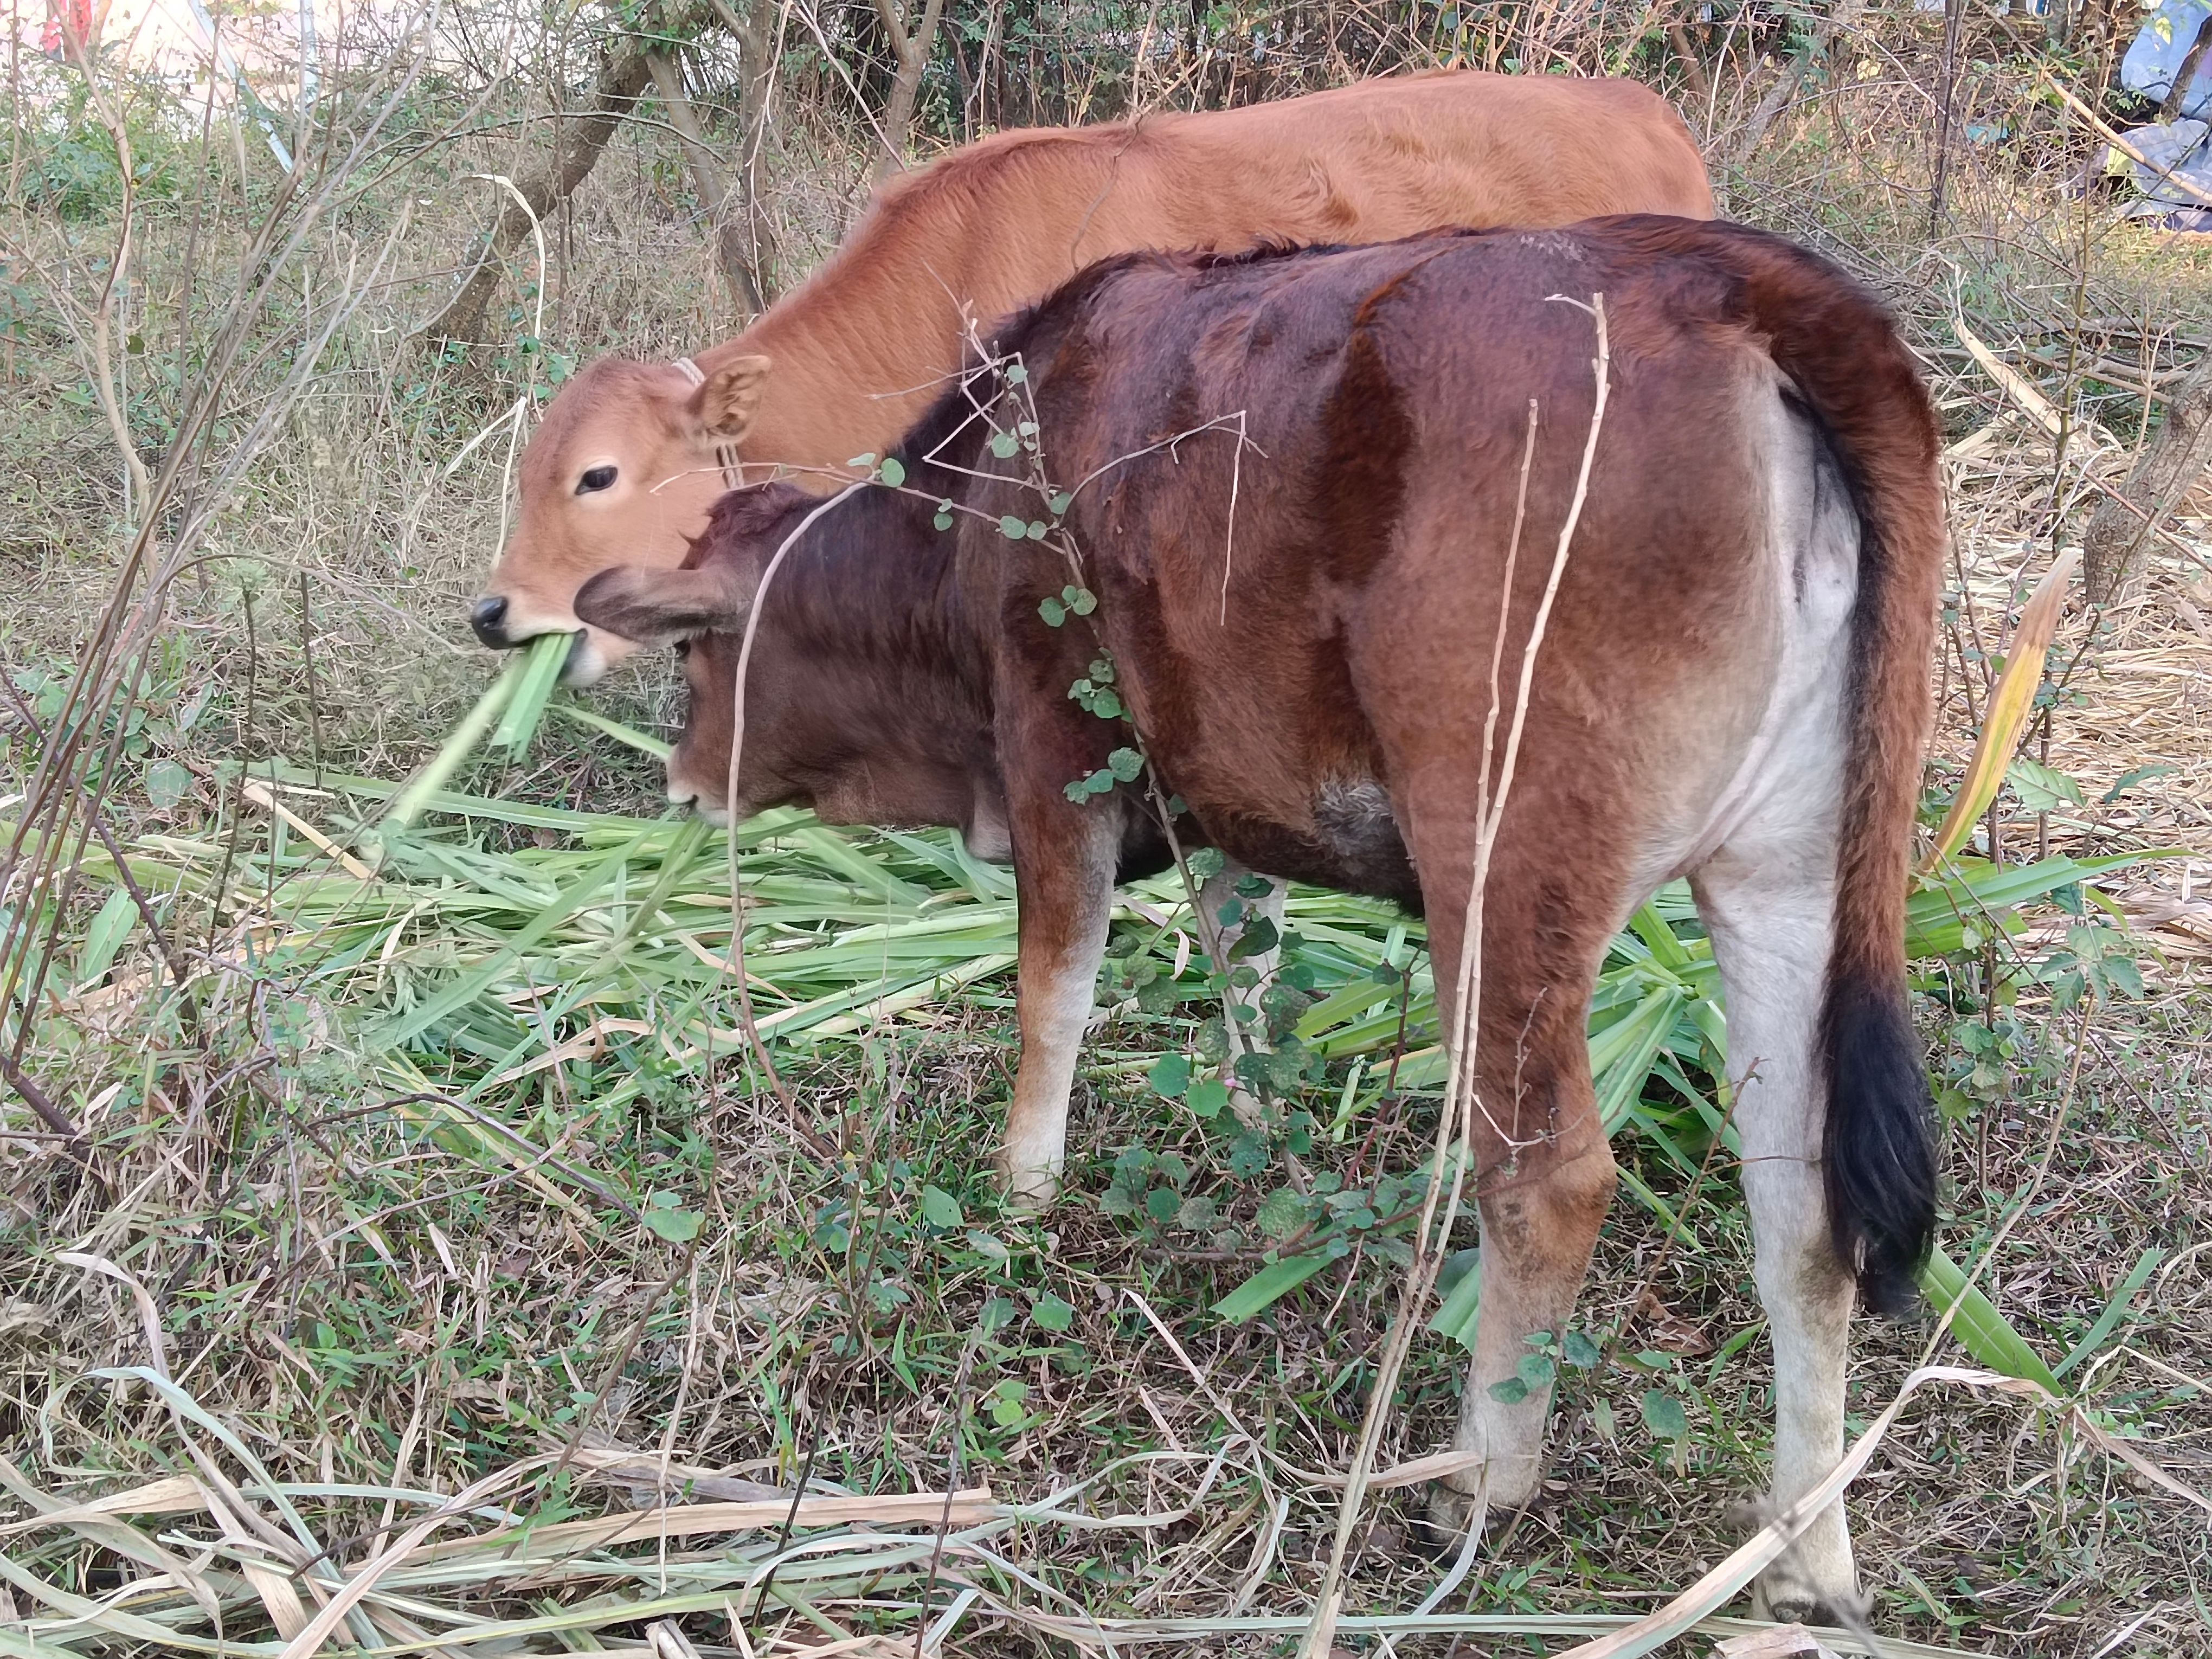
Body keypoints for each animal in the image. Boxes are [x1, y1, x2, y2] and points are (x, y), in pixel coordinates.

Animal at [570, 217, 1938, 1628]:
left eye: (693, 657)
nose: (681, 783)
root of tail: (1727, 271)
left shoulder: (1057, 745)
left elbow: (1052, 992)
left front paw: (1022, 1192)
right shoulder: (1221, 794)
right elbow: (1248, 988)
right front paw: (1264, 1166)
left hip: (1504, 854)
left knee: (1548, 1178)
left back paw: (1478, 1483)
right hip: (1791, 875)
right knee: (1802, 1209)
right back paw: (1802, 1551)